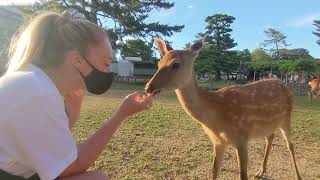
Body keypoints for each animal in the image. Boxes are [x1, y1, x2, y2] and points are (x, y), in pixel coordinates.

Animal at [146, 37, 302, 179]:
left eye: (176, 64)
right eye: (159, 63)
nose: (148, 87)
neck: (216, 116)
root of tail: (285, 85)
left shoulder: (242, 137)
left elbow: (242, 175)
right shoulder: (218, 142)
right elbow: (214, 171)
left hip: (287, 117)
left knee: (290, 145)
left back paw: (297, 176)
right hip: (268, 125)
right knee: (270, 137)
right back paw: (260, 171)